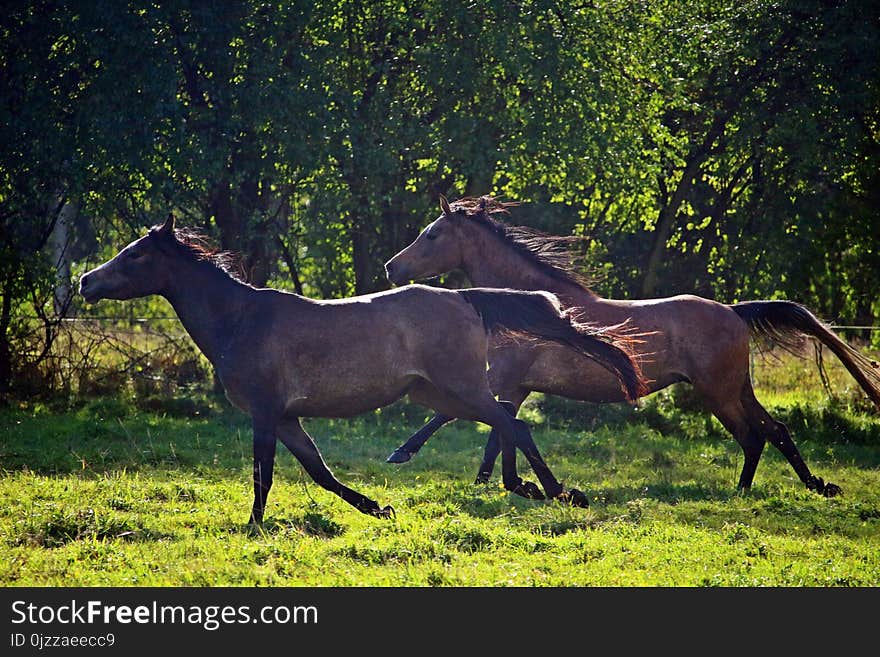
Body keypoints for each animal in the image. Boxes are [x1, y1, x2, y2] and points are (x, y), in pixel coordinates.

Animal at [81, 213, 648, 520]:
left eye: (135, 255)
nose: (86, 280)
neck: (239, 320)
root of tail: (464, 297)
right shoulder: (286, 417)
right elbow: (319, 471)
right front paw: (377, 507)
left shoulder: (264, 412)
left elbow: (264, 474)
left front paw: (254, 526)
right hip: (439, 394)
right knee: (506, 421)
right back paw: (522, 486)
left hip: (462, 388)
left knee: (514, 423)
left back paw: (556, 491)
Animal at [384, 195, 880, 498]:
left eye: (432, 234)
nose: (391, 267)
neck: (529, 306)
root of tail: (735, 312)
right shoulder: (515, 385)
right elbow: (498, 432)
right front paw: (496, 482)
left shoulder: (502, 378)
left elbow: (457, 416)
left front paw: (404, 453)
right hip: (737, 388)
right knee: (776, 429)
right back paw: (816, 484)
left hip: (718, 393)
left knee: (753, 435)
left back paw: (741, 491)